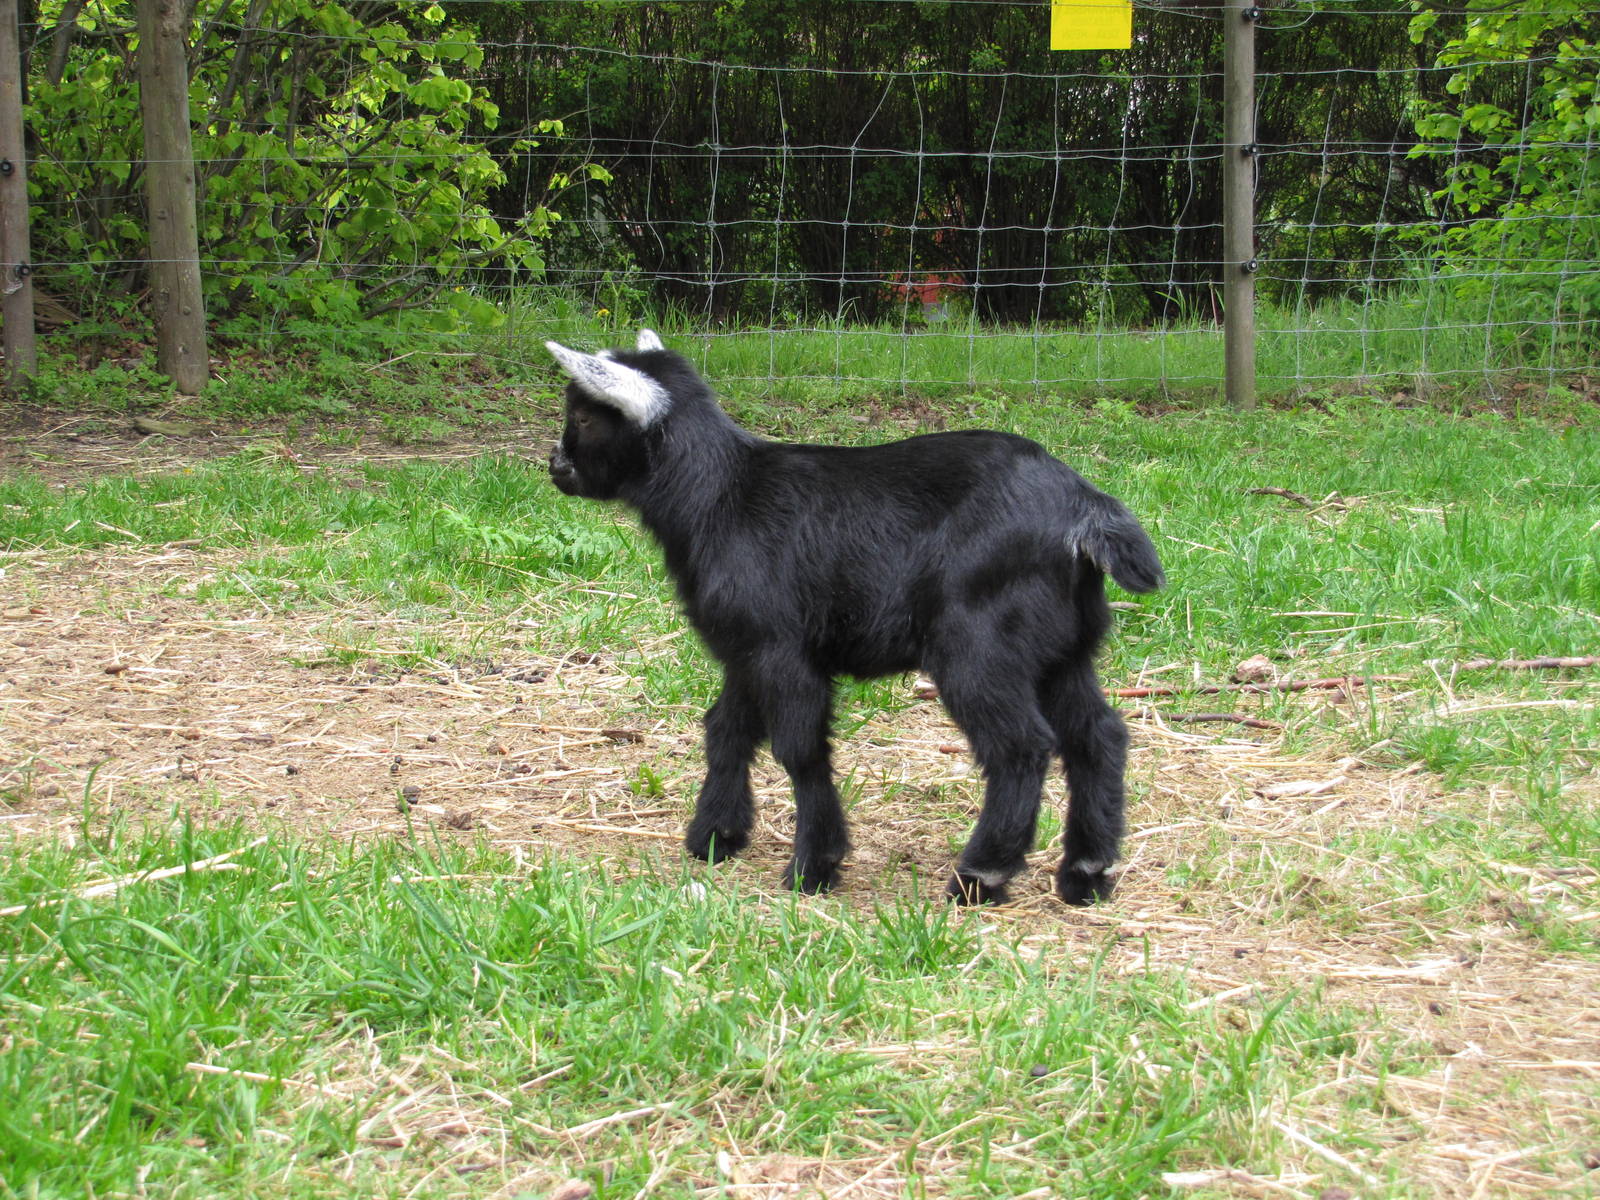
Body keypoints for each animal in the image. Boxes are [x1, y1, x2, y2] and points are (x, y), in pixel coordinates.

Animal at [545, 330, 1164, 906]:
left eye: (583, 416)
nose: (556, 466)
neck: (719, 497)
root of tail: (1084, 509)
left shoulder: (782, 650)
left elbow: (799, 750)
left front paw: (814, 866)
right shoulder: (745, 649)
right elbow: (726, 729)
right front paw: (716, 836)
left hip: (980, 643)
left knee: (1021, 748)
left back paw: (980, 875)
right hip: (1063, 647)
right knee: (1098, 735)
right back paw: (1087, 872)